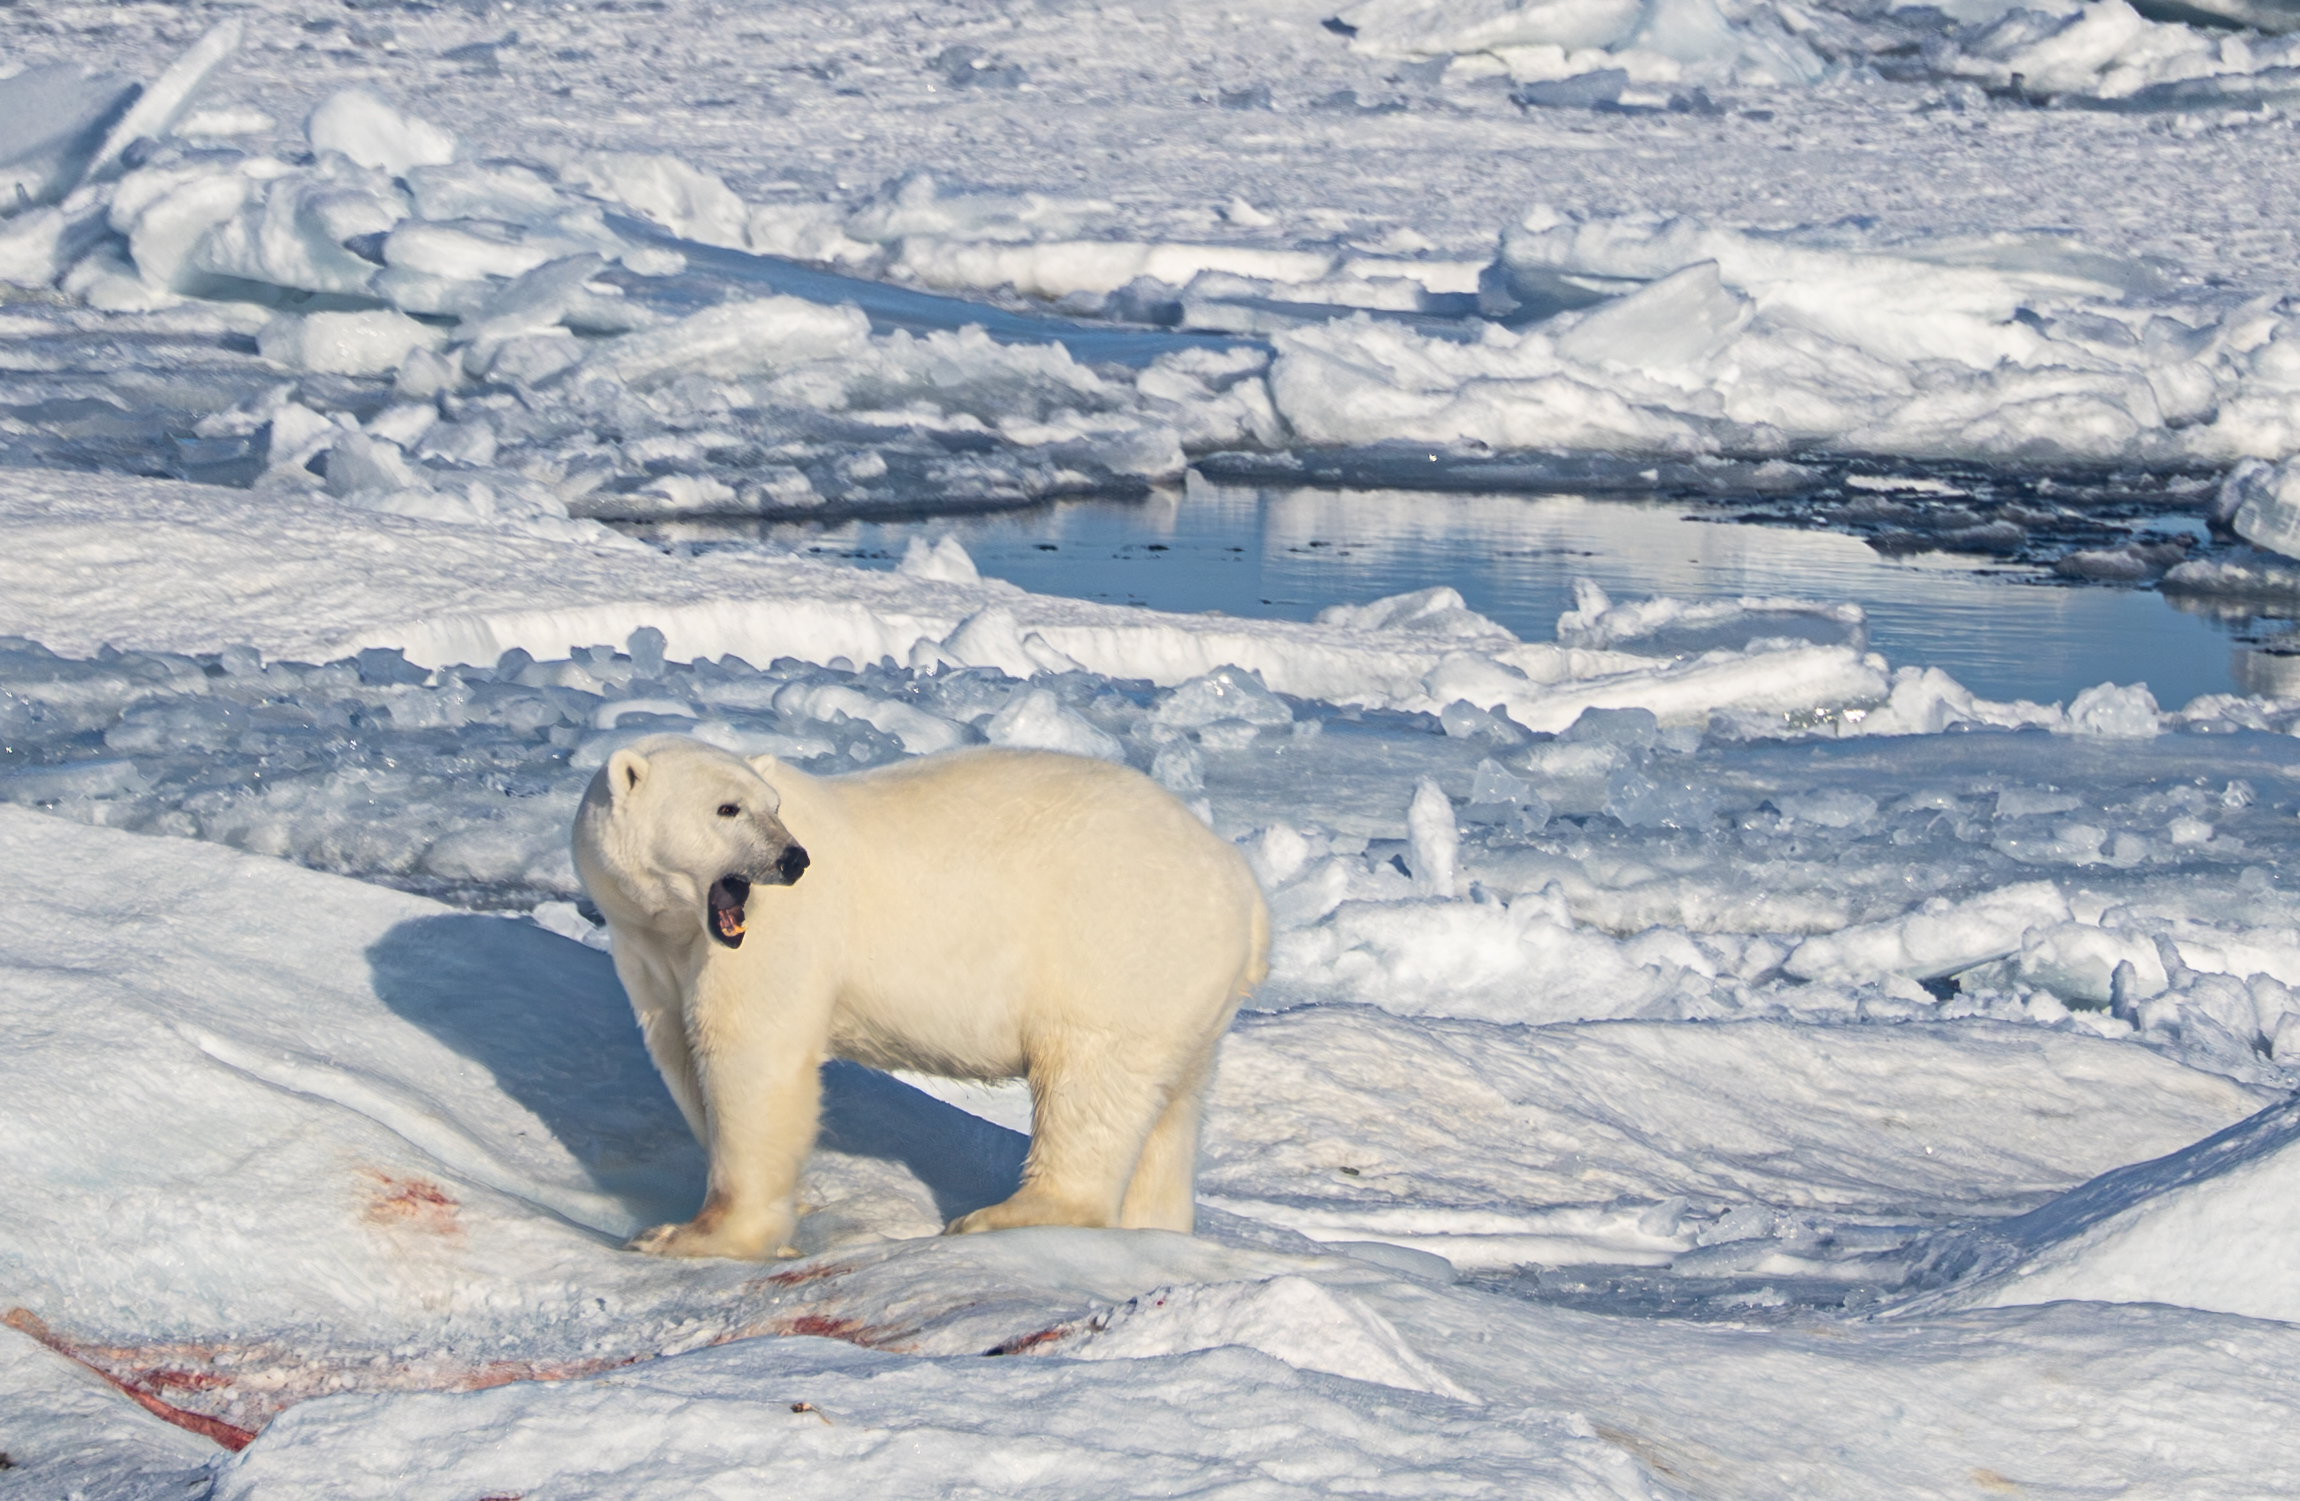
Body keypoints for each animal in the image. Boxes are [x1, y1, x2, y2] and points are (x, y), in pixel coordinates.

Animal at [572, 733, 1269, 1260]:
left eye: (771, 805)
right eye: (726, 809)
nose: (793, 859)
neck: (680, 922)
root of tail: (1244, 886)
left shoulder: (776, 939)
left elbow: (748, 1056)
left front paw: (688, 1236)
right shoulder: (649, 947)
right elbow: (680, 1056)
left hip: (1118, 949)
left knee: (1089, 1083)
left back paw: (1002, 1215)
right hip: (1184, 992)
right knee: (1171, 1109)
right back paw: (1155, 1226)